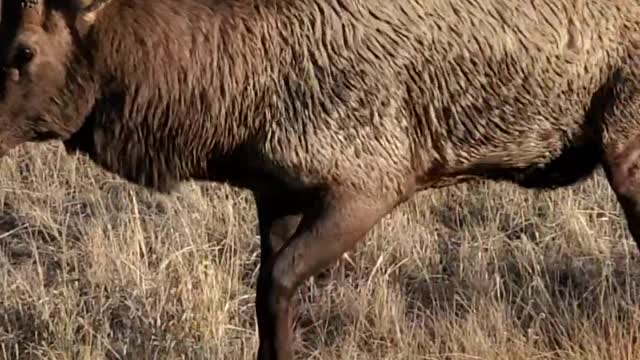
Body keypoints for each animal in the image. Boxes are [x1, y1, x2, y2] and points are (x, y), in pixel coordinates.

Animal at [1, 0, 640, 360]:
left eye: (22, 50)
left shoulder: (371, 179)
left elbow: (276, 284)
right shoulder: (277, 192)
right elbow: (268, 297)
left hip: (625, 138)